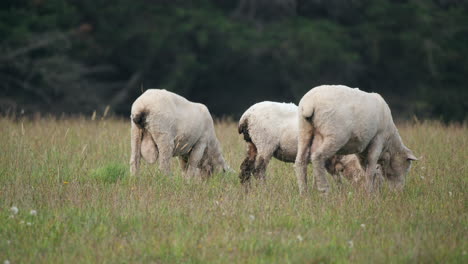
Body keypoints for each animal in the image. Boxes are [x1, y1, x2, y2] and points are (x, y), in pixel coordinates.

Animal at [238, 101, 380, 186]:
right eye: (377, 177)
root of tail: (246, 116)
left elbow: (335, 177)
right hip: (265, 143)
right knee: (258, 169)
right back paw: (264, 188)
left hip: (252, 144)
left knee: (245, 168)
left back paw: (247, 191)